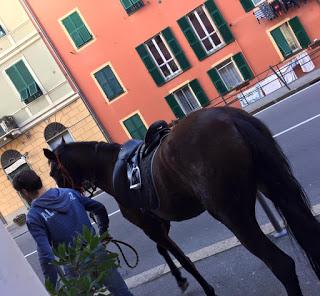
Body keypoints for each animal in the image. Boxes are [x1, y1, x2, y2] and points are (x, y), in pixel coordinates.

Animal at [43, 107, 320, 296]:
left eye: (54, 173)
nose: (64, 194)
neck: (112, 168)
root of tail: (229, 117)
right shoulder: (159, 224)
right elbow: (163, 250)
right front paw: (180, 278)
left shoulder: (151, 227)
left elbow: (182, 258)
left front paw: (203, 286)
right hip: (276, 189)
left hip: (234, 216)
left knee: (282, 265)